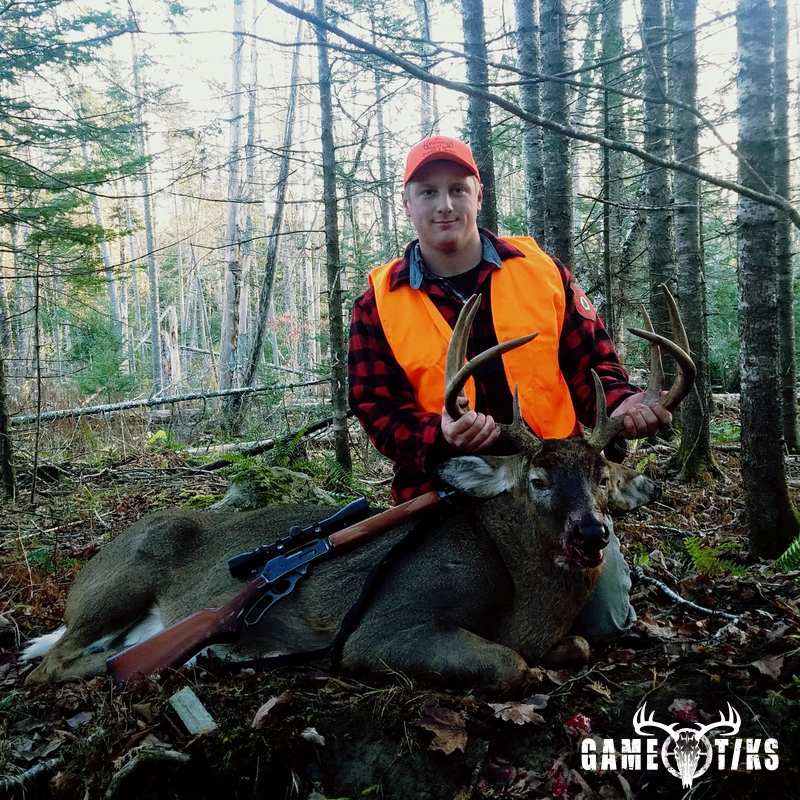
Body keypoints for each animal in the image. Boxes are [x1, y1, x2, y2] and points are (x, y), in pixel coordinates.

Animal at [22, 290, 695, 692]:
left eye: (601, 477)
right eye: (536, 480)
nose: (592, 533)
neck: (524, 599)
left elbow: (577, 644)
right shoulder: (388, 625)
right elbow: (512, 666)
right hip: (122, 580)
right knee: (53, 663)